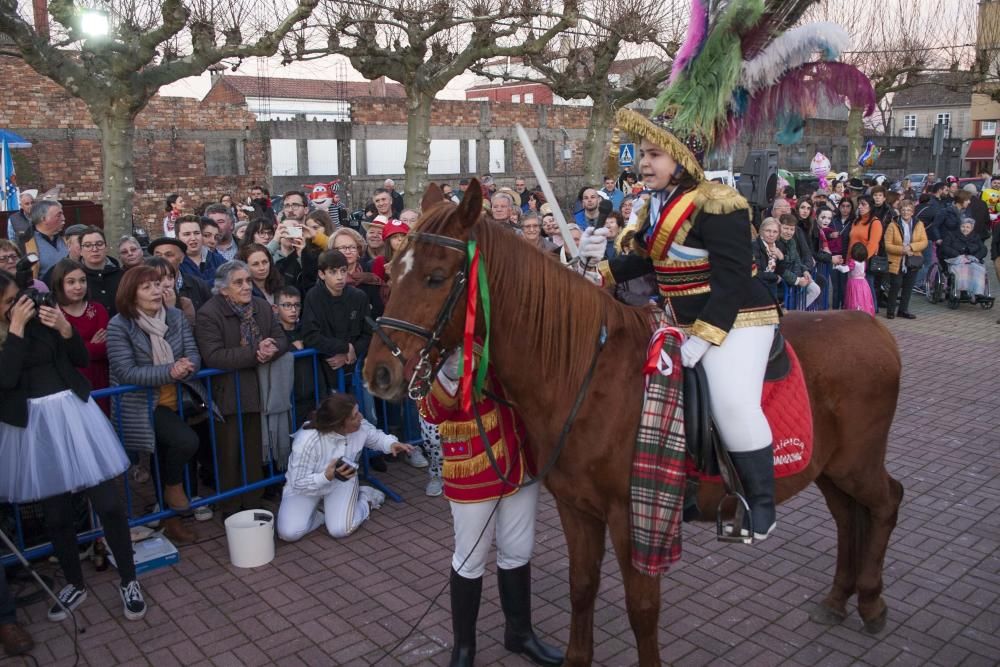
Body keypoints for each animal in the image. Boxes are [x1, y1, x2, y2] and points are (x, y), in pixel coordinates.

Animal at [362, 183, 908, 667]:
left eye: (436, 277)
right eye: (391, 268)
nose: (378, 373)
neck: (584, 372)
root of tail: (871, 326)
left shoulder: (635, 514)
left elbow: (642, 608)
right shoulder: (577, 509)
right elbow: (582, 588)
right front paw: (576, 658)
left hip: (857, 463)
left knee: (886, 502)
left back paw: (872, 603)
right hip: (832, 468)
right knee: (848, 519)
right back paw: (839, 599)